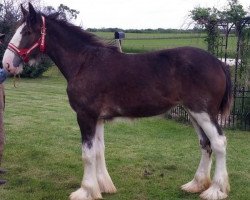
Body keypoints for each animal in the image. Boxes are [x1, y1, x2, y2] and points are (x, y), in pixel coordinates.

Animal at [1, 3, 232, 200]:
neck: (84, 63)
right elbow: (98, 150)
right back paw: (196, 184)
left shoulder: (85, 116)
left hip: (203, 112)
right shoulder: (98, 118)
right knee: (205, 144)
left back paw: (216, 190)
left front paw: (85, 191)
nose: (7, 64)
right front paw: (102, 186)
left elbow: (87, 154)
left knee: (219, 143)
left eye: (26, 32)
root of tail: (219, 63)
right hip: (193, 113)